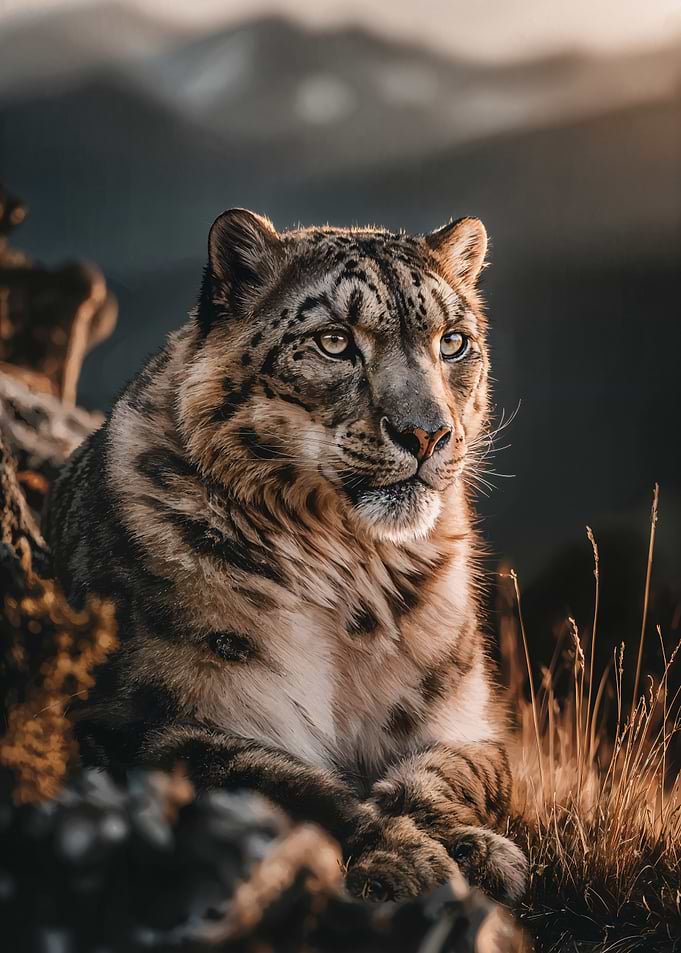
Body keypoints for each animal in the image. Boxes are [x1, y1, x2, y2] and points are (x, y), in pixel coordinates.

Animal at [45, 209, 528, 904]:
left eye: (454, 342)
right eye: (334, 341)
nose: (427, 432)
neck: (359, 583)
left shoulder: (466, 719)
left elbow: (469, 771)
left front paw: (472, 847)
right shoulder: (162, 721)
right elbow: (290, 789)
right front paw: (410, 858)